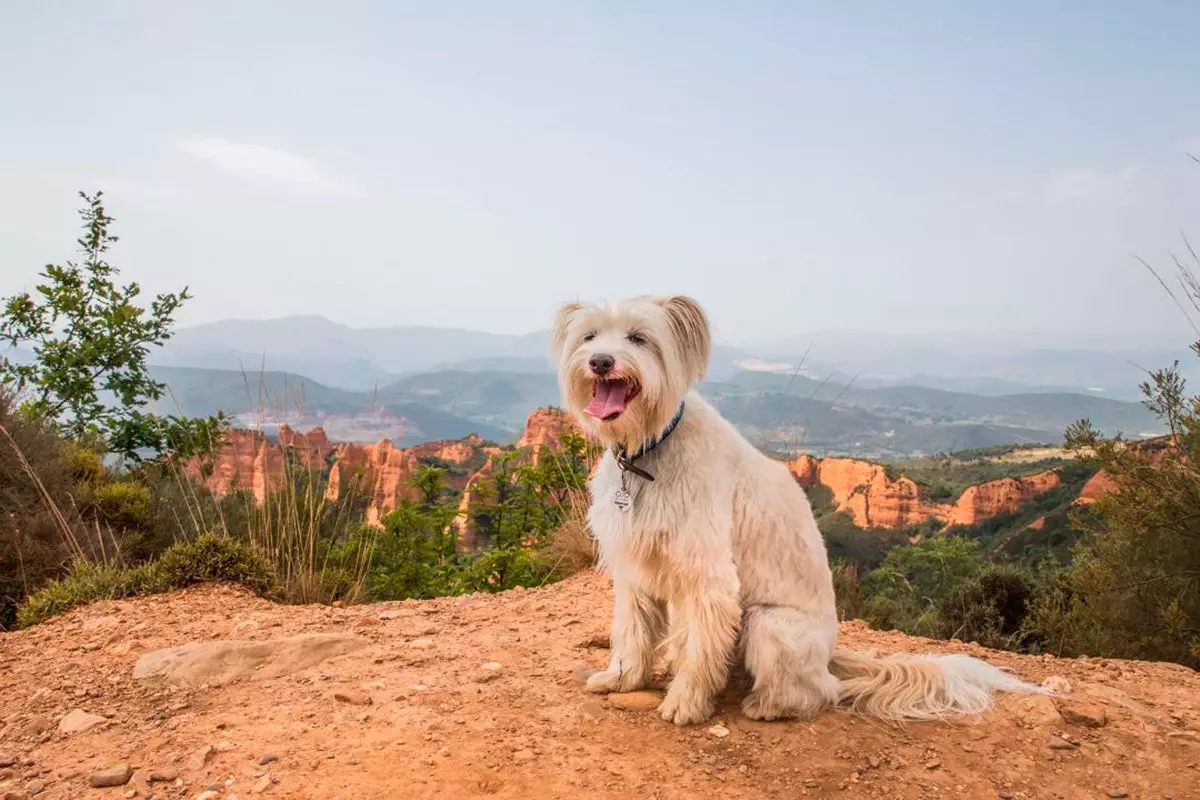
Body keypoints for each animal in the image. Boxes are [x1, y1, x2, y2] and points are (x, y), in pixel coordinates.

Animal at [554, 293, 1051, 724]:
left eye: (639, 338)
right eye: (590, 336)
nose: (600, 362)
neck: (647, 450)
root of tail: (830, 656)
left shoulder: (708, 576)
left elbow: (699, 649)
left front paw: (687, 703)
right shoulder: (635, 567)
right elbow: (632, 633)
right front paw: (623, 679)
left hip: (767, 623)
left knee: (818, 692)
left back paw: (769, 705)